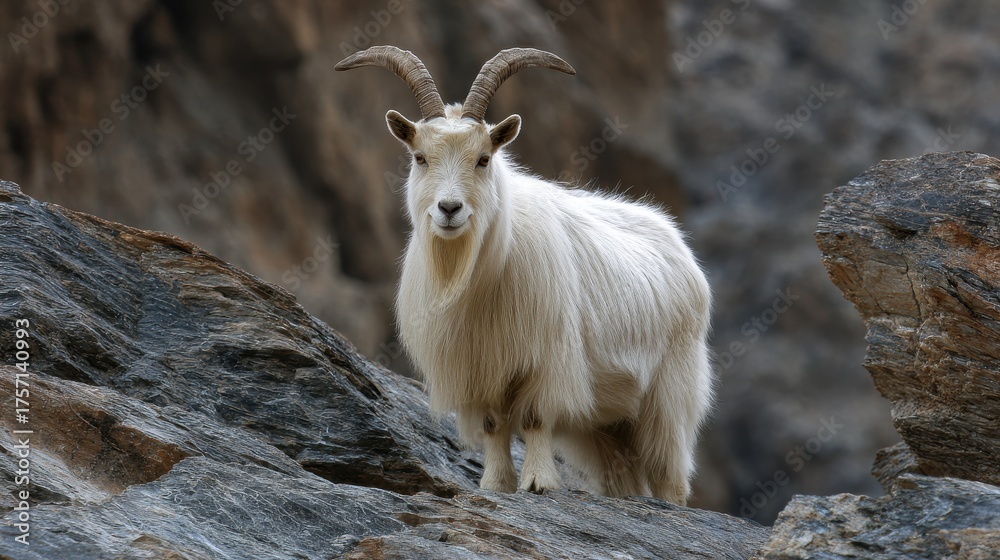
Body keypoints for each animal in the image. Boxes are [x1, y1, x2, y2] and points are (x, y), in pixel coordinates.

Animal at [336, 46, 712, 505]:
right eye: (419, 157)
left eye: (483, 159)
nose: (449, 209)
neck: (474, 276)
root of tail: (677, 243)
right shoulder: (481, 370)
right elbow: (494, 426)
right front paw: (495, 483)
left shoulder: (546, 360)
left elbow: (533, 420)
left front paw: (537, 482)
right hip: (607, 423)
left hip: (669, 396)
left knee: (669, 473)